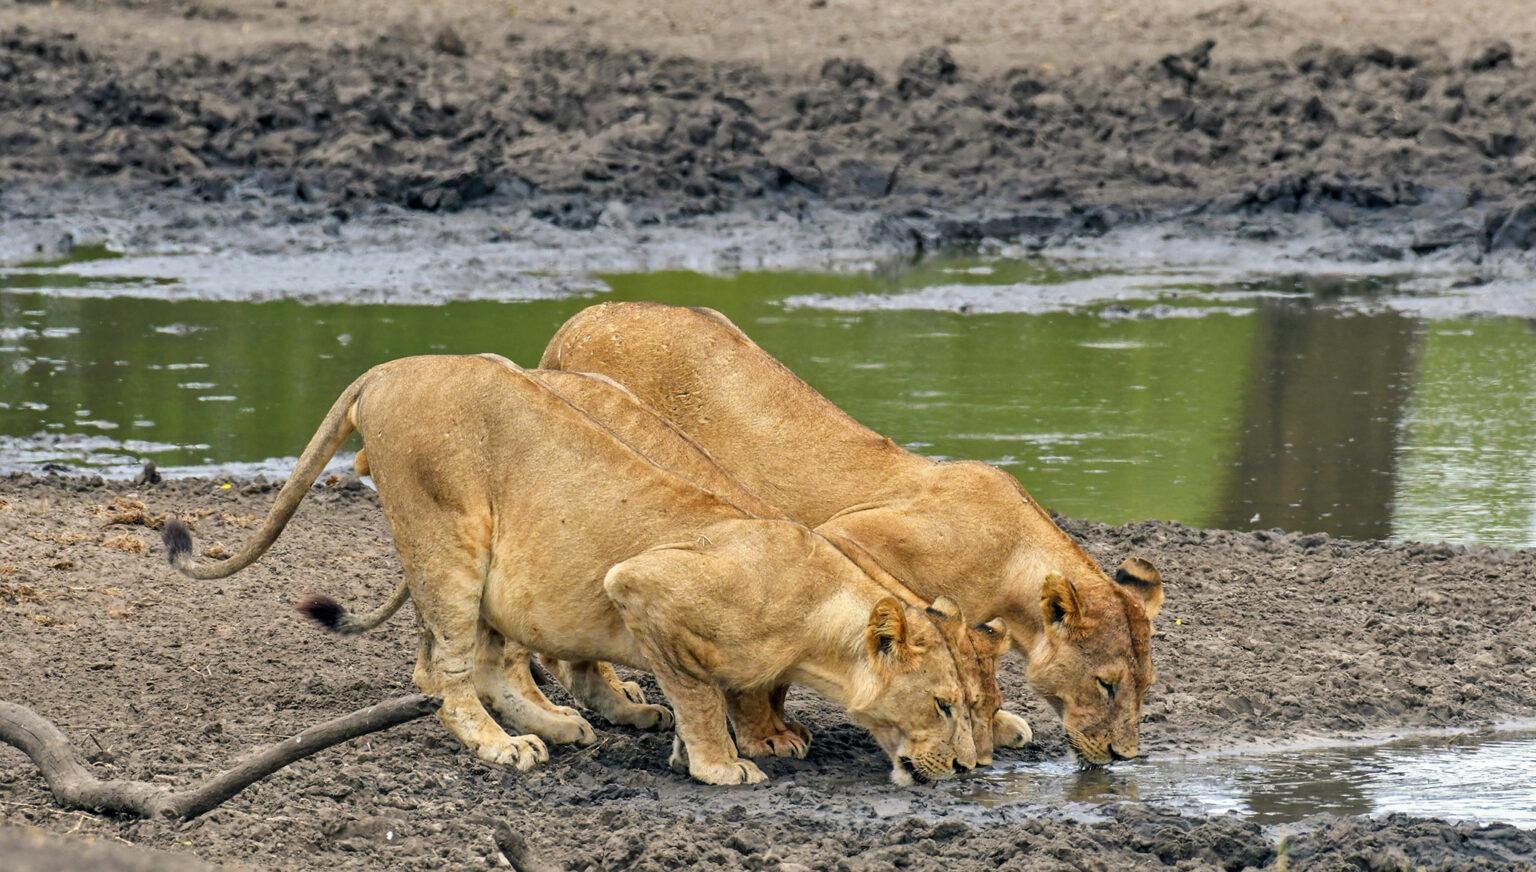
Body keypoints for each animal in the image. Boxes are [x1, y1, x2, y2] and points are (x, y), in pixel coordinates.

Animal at [161, 354, 974, 785]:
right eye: (942, 705)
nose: (968, 768)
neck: (817, 616)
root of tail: (385, 370)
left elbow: (691, 694)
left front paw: (683, 749)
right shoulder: (642, 586)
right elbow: (700, 693)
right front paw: (723, 764)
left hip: (486, 566)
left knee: (489, 661)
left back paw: (553, 723)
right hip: (447, 537)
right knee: (447, 671)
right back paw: (502, 746)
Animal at [540, 303, 1166, 765]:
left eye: (1146, 687)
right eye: (1108, 685)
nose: (1124, 757)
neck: (1012, 560)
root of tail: (584, 316)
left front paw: (995, 718)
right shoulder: (843, 536)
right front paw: (768, 734)